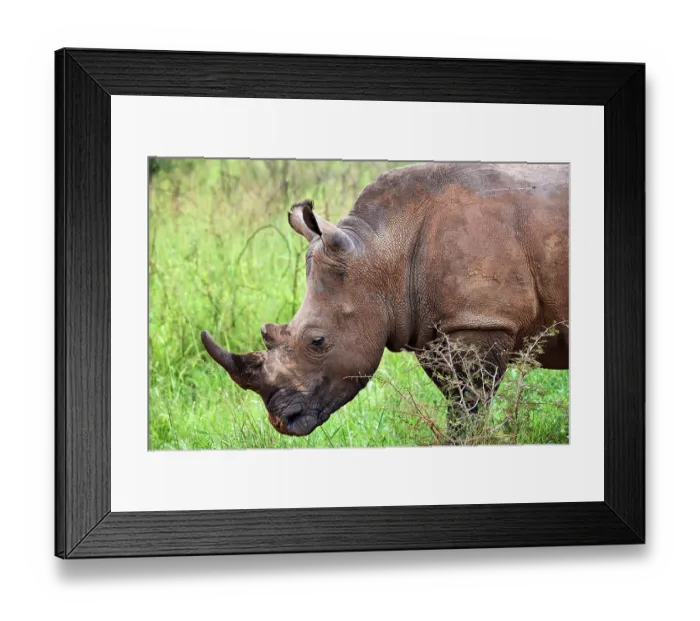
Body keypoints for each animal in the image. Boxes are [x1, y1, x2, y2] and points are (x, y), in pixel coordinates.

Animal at [201, 162, 569, 438]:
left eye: (318, 341)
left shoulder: (481, 322)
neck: (384, 250)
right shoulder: (435, 328)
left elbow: (469, 408)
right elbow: (457, 403)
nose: (281, 421)